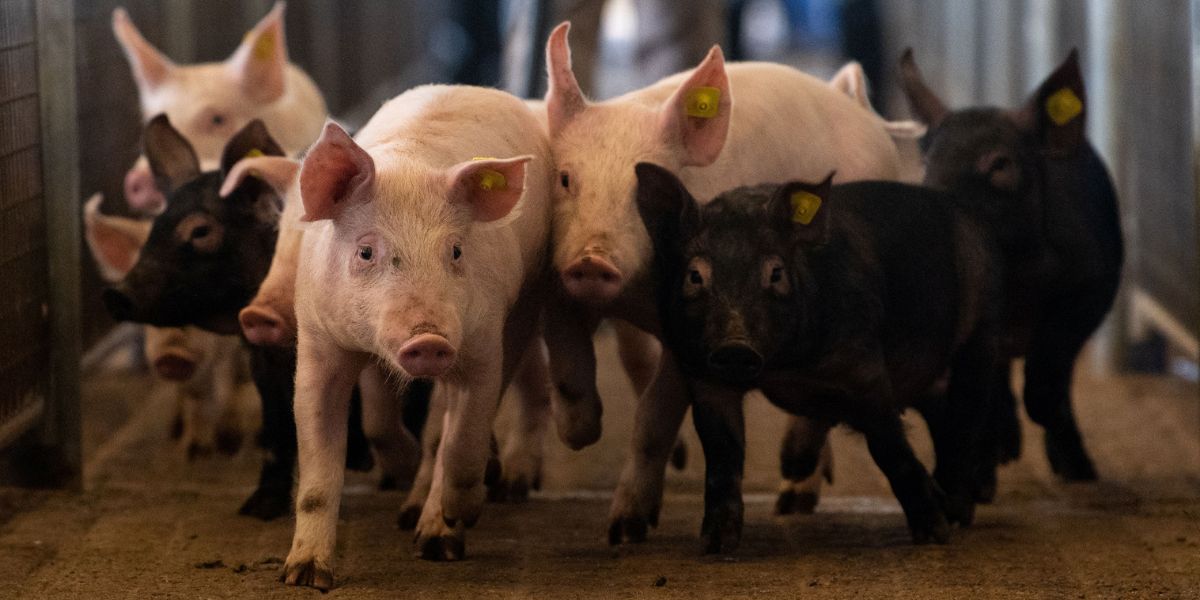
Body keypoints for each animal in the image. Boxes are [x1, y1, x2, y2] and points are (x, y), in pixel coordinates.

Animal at [101, 116, 381, 519]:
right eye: (154, 229)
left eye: (200, 230)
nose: (116, 293)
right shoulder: (260, 351)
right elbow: (277, 422)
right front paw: (259, 508)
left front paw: (359, 464)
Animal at [281, 85, 552, 589]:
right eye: (366, 252)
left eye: (456, 251)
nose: (429, 341)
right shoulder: (319, 342)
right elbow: (322, 465)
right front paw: (306, 576)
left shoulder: (483, 343)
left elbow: (462, 440)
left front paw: (460, 514)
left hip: (528, 297)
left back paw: (438, 539)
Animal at [540, 23, 906, 543]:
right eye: (567, 179)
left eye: (641, 192)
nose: (593, 260)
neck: (634, 298)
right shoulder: (560, 283)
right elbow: (569, 365)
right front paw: (581, 433)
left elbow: (653, 418)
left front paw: (624, 530)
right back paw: (795, 496)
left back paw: (792, 485)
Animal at [634, 165, 1002, 551]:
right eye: (695, 275)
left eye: (776, 273)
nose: (735, 346)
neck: (786, 366)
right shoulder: (705, 377)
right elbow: (722, 455)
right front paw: (715, 545)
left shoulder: (865, 368)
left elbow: (890, 448)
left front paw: (933, 535)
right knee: (942, 415)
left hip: (984, 328)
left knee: (968, 416)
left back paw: (957, 514)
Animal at [899, 49, 1123, 482]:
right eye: (928, 162)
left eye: (1000, 164)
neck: (1021, 278)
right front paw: (994, 455)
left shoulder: (1095, 283)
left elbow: (1053, 361)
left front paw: (1066, 453)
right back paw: (1003, 450)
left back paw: (1078, 470)